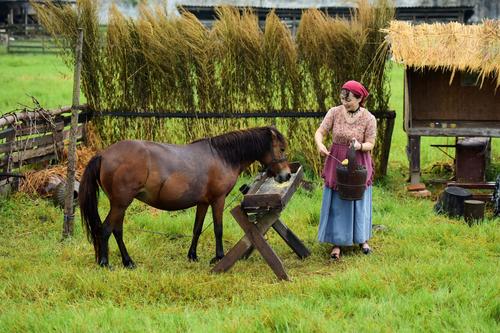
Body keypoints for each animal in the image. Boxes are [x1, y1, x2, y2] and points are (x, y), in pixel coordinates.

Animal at [79, 126, 292, 268]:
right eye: (281, 148)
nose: (287, 175)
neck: (222, 156)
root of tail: (103, 155)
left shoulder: (203, 202)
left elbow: (197, 229)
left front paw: (192, 256)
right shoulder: (218, 200)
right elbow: (218, 229)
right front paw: (219, 257)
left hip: (120, 204)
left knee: (117, 230)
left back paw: (127, 261)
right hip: (120, 203)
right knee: (106, 229)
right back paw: (105, 263)